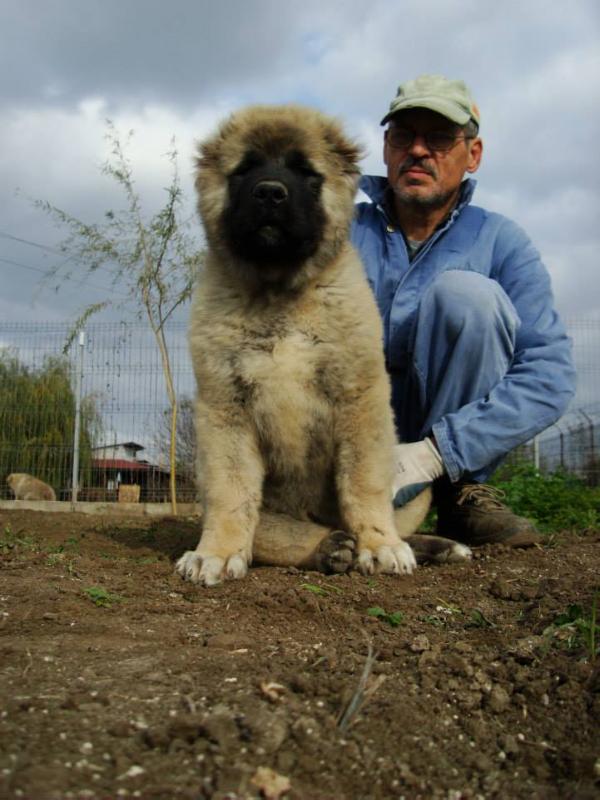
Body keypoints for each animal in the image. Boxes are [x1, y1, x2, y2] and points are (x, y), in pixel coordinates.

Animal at [176, 103, 462, 584]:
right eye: (244, 170)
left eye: (306, 173)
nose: (270, 194)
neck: (281, 294)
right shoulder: (224, 408)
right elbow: (231, 493)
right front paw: (216, 552)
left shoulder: (360, 398)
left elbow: (364, 483)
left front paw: (380, 545)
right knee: (271, 530)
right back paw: (328, 548)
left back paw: (431, 545)